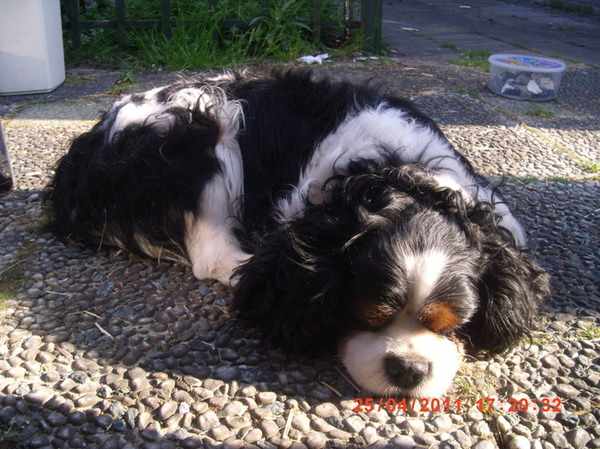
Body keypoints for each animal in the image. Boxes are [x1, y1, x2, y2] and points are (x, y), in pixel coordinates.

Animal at [47, 68, 548, 398]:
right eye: (366, 315)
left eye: (454, 324)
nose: (408, 368)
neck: (398, 174)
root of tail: (78, 158)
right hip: (202, 120)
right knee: (212, 253)